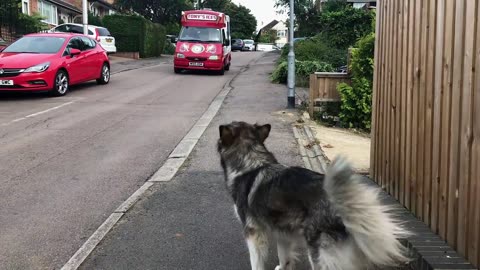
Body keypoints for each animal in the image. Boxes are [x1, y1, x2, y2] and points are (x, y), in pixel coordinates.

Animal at [218, 121, 412, 268]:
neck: (251, 163)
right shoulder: (282, 232)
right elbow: (284, 257)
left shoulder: (254, 233)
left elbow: (256, 262)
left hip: (319, 251)